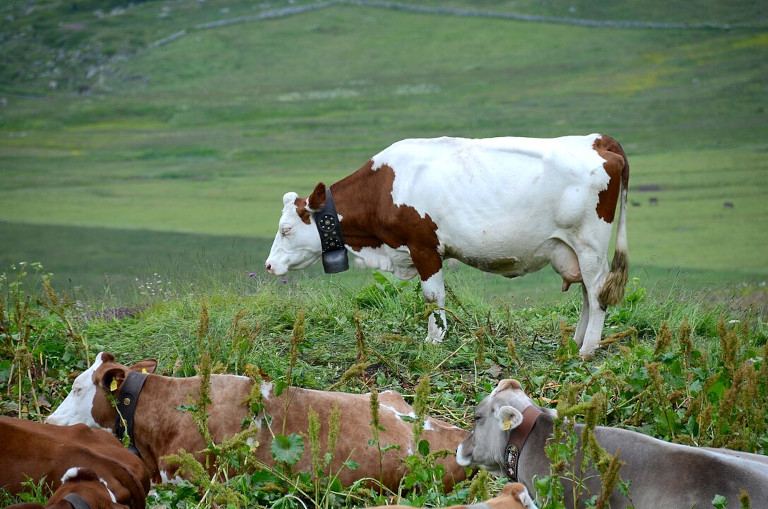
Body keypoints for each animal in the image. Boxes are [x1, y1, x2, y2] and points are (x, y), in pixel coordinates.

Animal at [265, 135, 629, 356]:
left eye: (285, 229)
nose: (269, 265)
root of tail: (596, 140)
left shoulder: (423, 246)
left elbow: (432, 297)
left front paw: (434, 339)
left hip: (589, 245)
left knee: (597, 292)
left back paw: (588, 348)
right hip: (575, 250)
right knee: (586, 294)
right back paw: (577, 339)